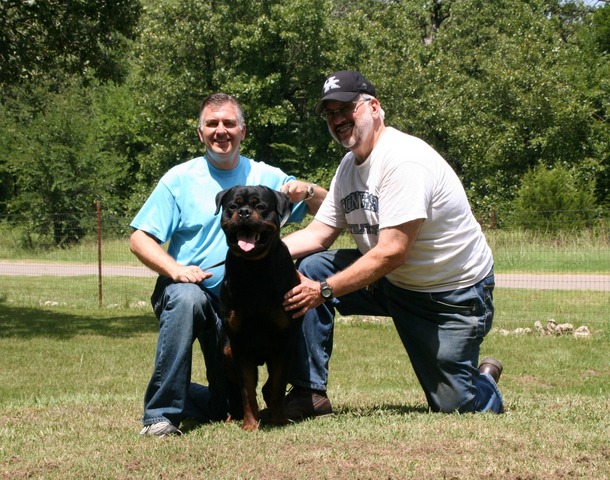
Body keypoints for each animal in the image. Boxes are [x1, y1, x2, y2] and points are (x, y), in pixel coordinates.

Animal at [214, 185, 300, 432]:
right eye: (232, 206)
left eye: (260, 206)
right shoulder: (239, 343)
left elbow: (278, 384)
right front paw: (250, 423)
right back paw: (233, 416)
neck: (254, 268)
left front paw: (278, 419)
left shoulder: (284, 339)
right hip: (227, 351)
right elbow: (246, 389)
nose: (243, 212)